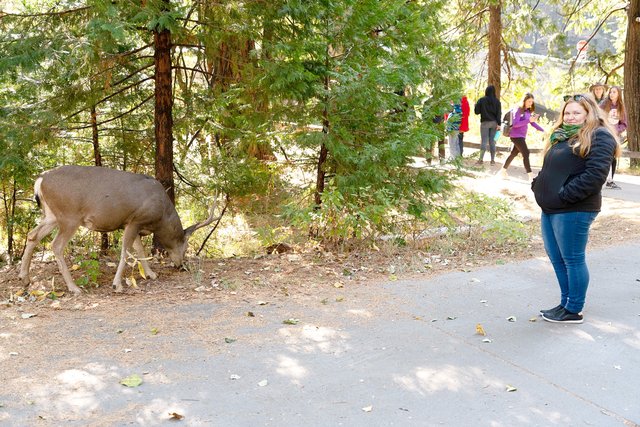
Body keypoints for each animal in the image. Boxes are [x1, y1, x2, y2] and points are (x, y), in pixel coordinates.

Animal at [18, 166, 222, 296]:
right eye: (184, 246)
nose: (181, 265)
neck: (161, 216)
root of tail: (40, 180)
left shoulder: (132, 223)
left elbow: (139, 250)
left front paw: (151, 274)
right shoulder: (135, 219)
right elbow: (126, 251)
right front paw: (117, 285)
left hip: (51, 215)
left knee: (32, 235)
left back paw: (24, 278)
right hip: (69, 216)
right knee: (56, 245)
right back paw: (74, 288)